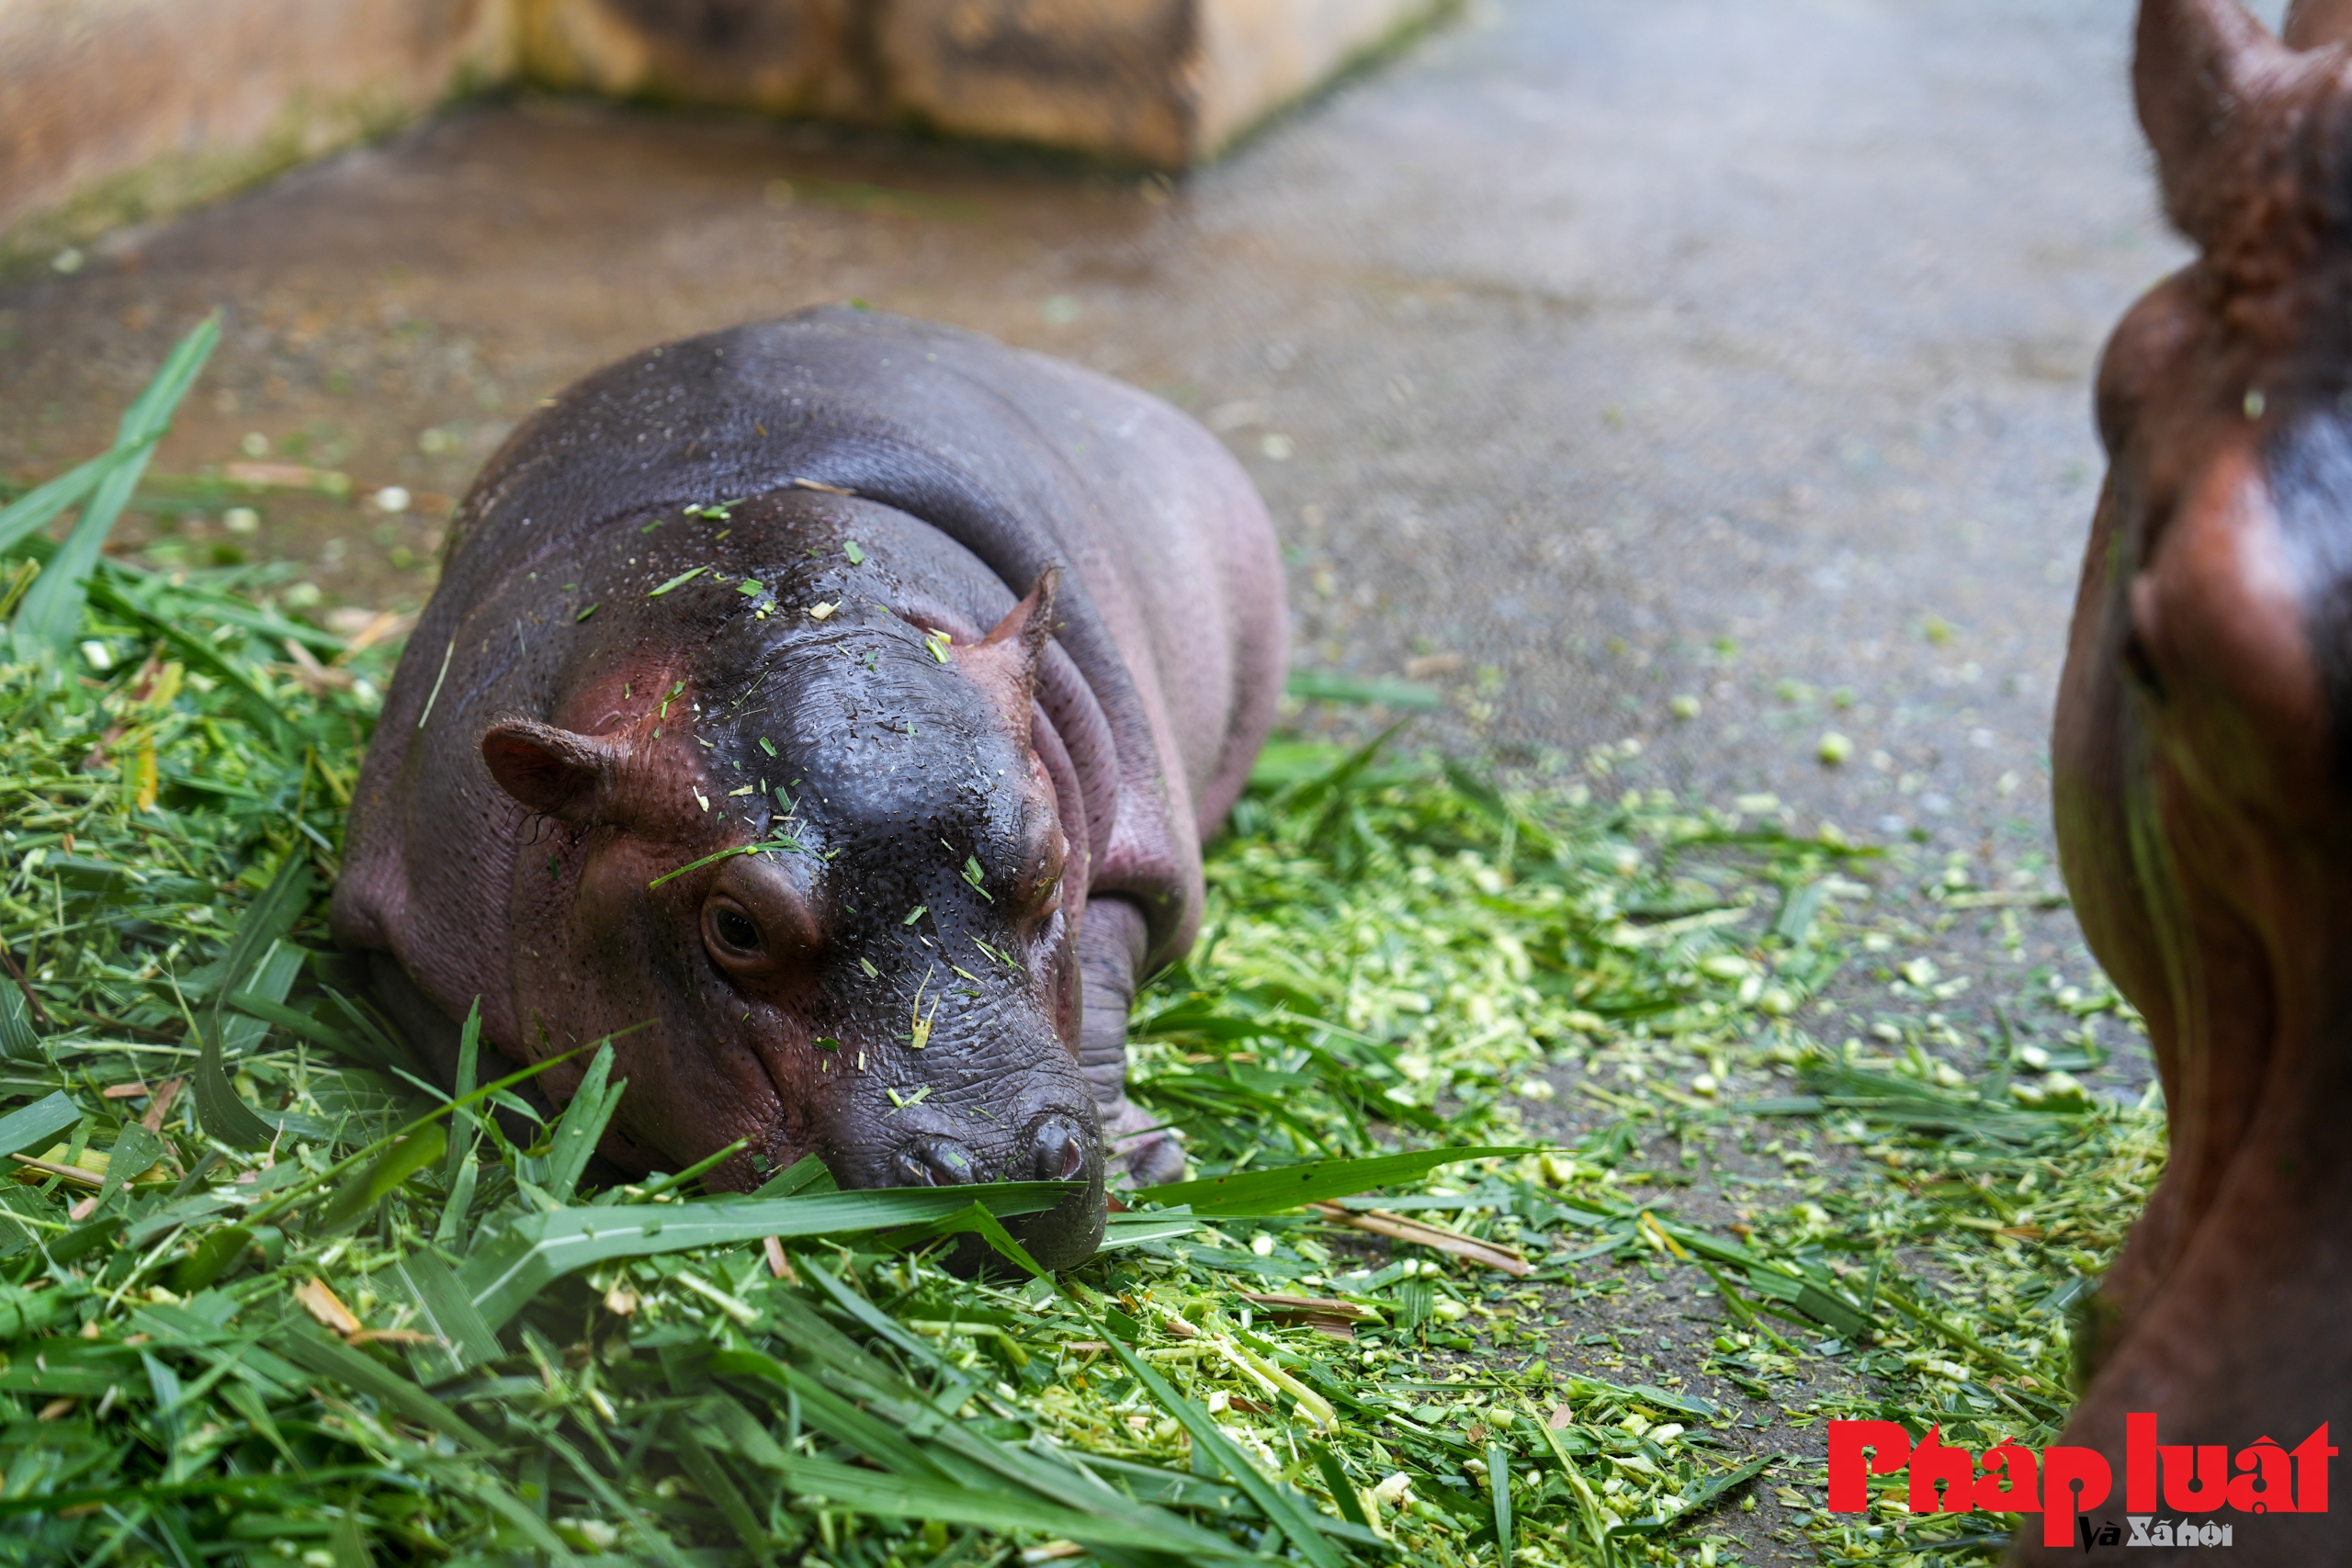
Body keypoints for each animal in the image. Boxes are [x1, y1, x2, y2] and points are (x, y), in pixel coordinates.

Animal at [326, 303, 1288, 1259]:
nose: (1001, 1170)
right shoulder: (392, 931)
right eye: (736, 925)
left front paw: (1147, 1162)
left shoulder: (1132, 862)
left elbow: (1106, 976)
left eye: (1051, 866)